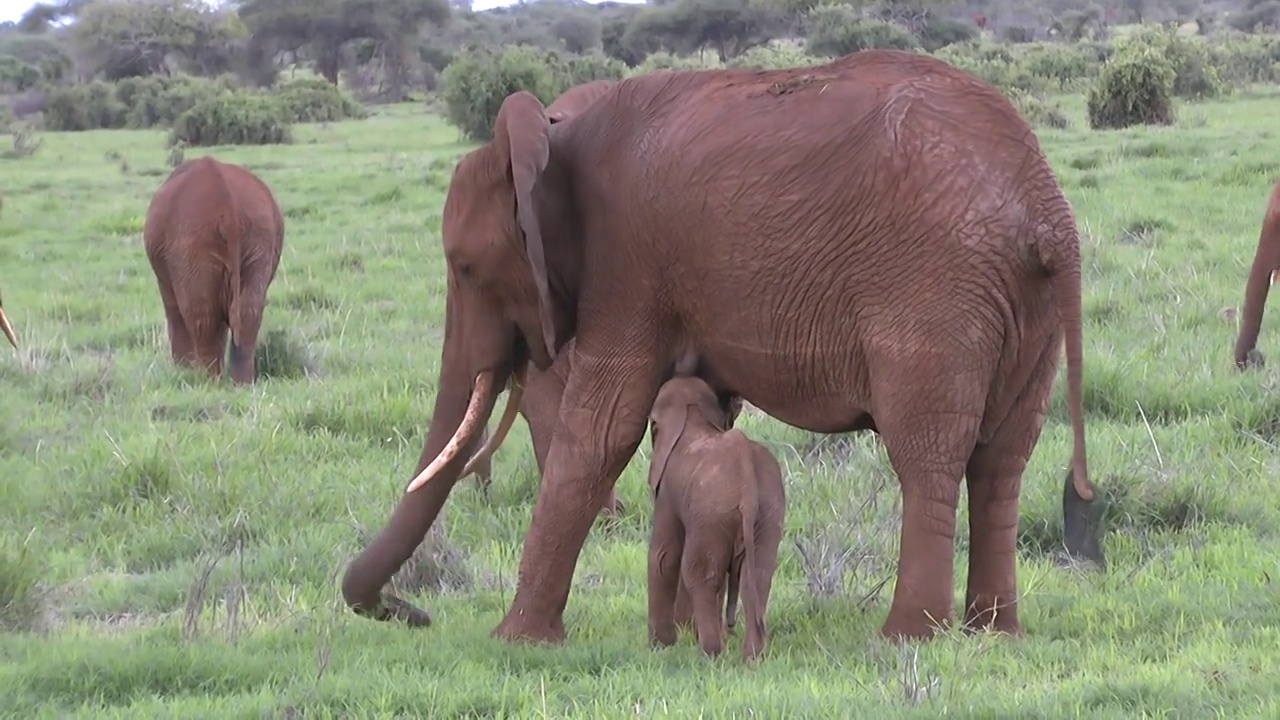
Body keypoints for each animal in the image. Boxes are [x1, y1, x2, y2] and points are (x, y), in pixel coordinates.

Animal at [645, 371, 783, 661]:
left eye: (652, 425)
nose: (729, 626)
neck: (693, 416)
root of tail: (746, 476)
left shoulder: (668, 490)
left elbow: (663, 556)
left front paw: (660, 647)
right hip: (766, 512)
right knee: (758, 574)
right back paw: (752, 657)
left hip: (712, 512)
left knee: (702, 574)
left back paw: (711, 653)